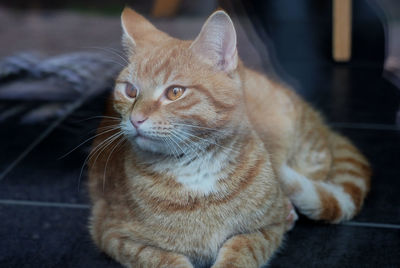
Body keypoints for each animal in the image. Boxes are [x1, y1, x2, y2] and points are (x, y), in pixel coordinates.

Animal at [87, 6, 372, 268]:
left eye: (175, 92)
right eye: (130, 90)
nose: (136, 119)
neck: (195, 173)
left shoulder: (267, 228)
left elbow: (240, 252)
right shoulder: (114, 234)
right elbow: (164, 259)